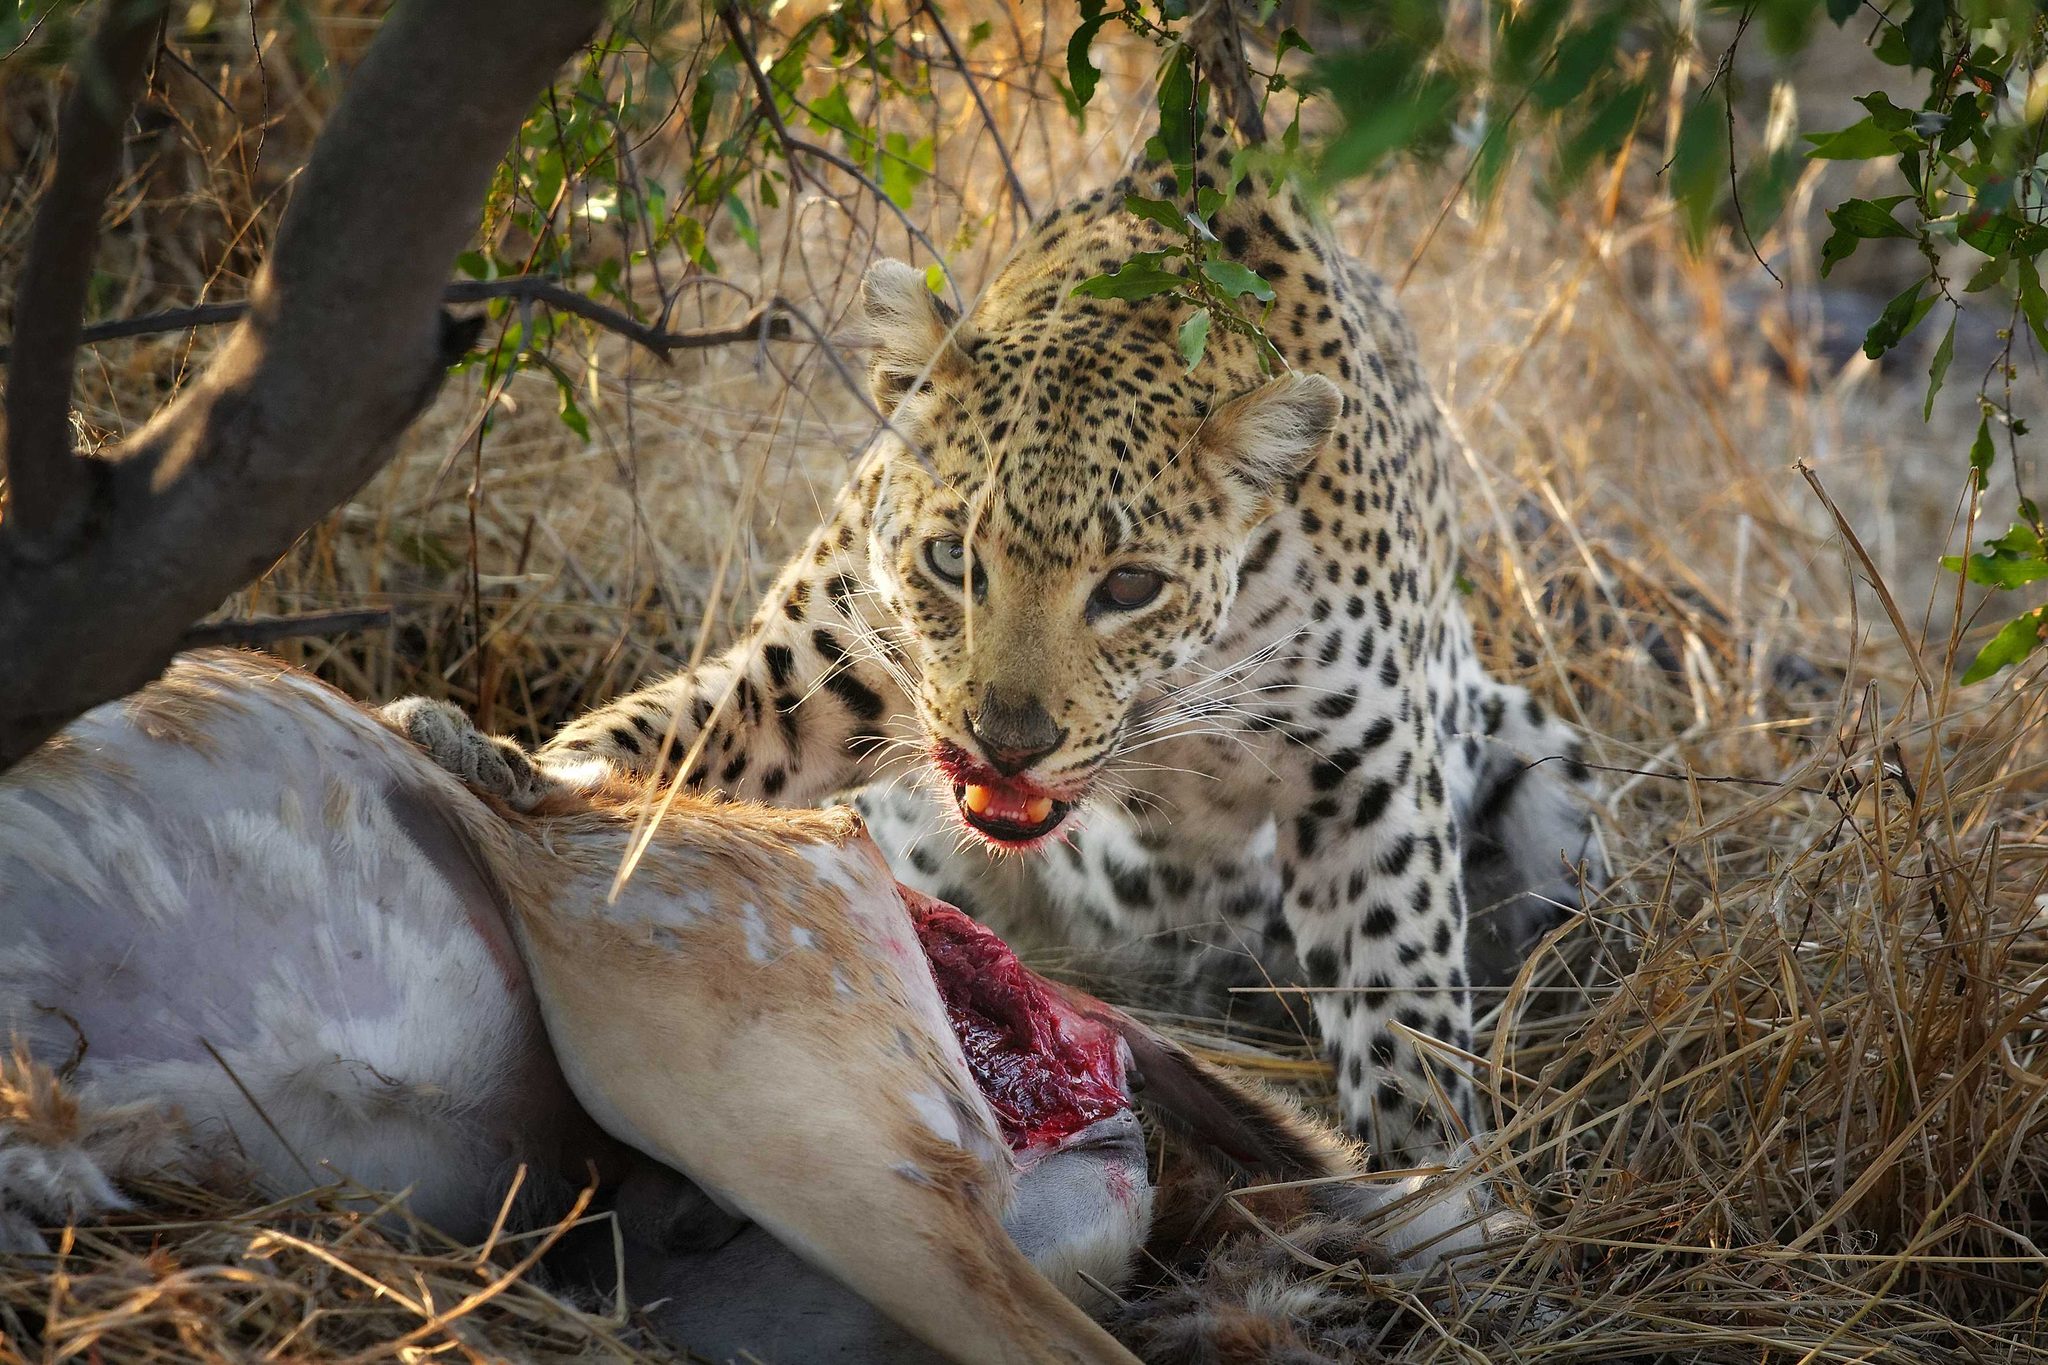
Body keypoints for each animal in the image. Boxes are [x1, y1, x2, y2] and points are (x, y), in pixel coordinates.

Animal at [387, 117, 1606, 1163]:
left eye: (1129, 585)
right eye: (948, 561)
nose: (1008, 740)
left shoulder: (1364, 787)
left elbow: (1403, 1006)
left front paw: (1433, 1185)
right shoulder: (805, 674)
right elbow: (661, 739)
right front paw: (494, 760)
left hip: (1546, 768)